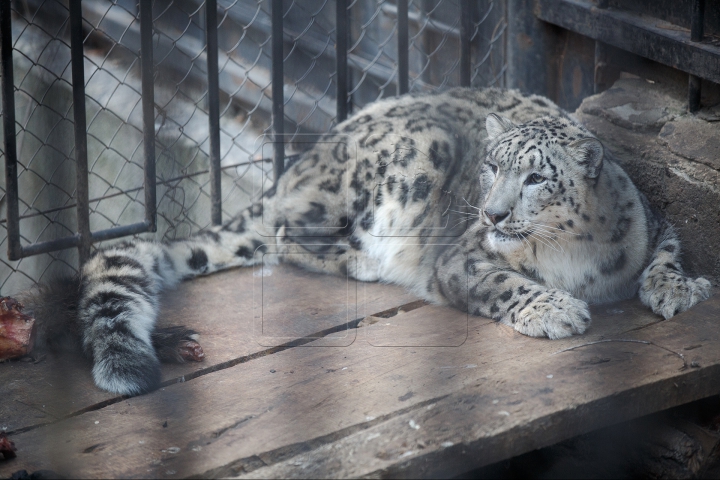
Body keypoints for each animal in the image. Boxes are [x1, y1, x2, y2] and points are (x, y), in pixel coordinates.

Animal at [26, 86, 708, 394]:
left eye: (537, 177)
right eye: (492, 167)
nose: (491, 214)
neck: (570, 255)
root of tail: (301, 162)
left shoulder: (652, 225)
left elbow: (668, 252)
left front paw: (679, 291)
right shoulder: (462, 259)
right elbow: (502, 282)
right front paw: (555, 309)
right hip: (405, 162)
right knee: (286, 234)